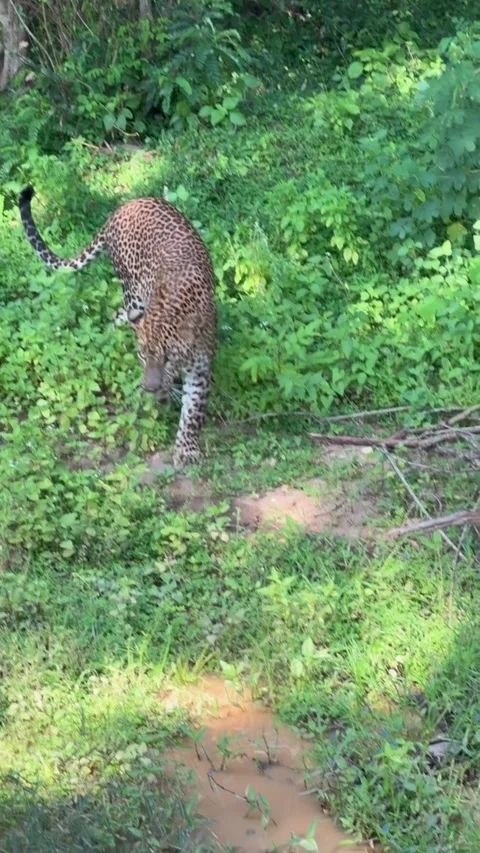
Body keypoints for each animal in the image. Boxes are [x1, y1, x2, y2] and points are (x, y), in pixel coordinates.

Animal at [19, 185, 216, 469]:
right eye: (143, 355)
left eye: (168, 358)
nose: (150, 388)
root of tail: (123, 208)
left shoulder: (200, 371)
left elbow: (192, 413)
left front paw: (186, 450)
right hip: (132, 292)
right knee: (118, 315)